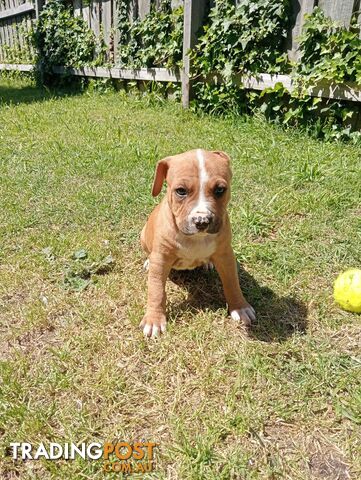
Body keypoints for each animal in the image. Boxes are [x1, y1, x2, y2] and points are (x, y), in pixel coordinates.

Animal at [139, 148, 255, 336]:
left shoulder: (225, 255)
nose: (202, 221)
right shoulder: (161, 259)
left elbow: (232, 282)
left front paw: (240, 307)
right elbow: (156, 290)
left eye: (220, 190)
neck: (196, 238)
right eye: (180, 191)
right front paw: (154, 320)